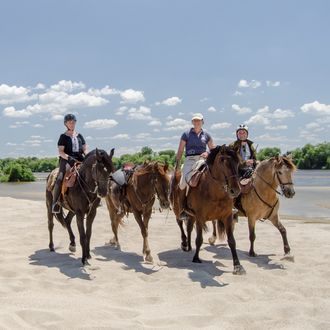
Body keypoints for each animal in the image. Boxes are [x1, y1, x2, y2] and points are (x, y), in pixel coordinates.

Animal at [170, 146, 245, 274]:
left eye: (237, 162)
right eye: (223, 161)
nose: (235, 190)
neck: (214, 191)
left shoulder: (227, 217)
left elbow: (232, 241)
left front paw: (237, 265)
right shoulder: (200, 217)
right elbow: (199, 239)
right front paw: (196, 258)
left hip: (192, 216)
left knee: (189, 228)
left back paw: (189, 246)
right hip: (178, 210)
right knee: (180, 223)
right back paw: (184, 243)